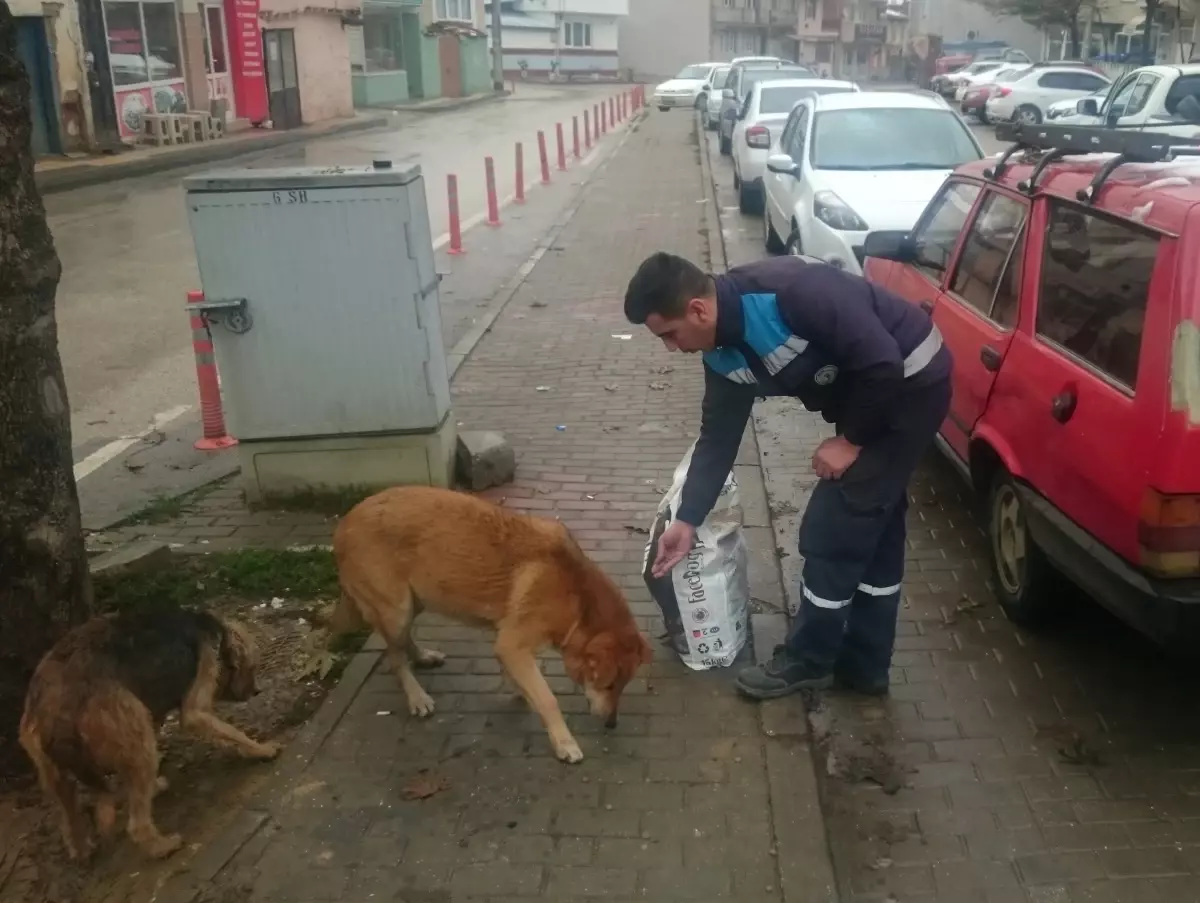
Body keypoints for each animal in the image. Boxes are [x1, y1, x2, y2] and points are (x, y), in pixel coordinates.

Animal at [17, 607, 279, 859]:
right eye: (252, 666)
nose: (256, 691)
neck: (213, 632)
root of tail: (55, 703)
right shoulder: (196, 707)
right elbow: (230, 732)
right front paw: (262, 749)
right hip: (137, 742)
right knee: (137, 825)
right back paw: (161, 846)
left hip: (54, 770)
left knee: (70, 815)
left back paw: (81, 849)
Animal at [333, 487, 652, 763]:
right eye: (608, 685)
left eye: (622, 686)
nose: (611, 724)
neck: (577, 597)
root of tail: (345, 521)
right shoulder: (513, 645)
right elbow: (547, 698)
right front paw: (564, 742)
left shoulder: (509, 642)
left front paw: (519, 688)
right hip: (397, 610)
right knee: (395, 657)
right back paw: (416, 696)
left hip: (417, 600)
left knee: (403, 643)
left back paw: (422, 656)